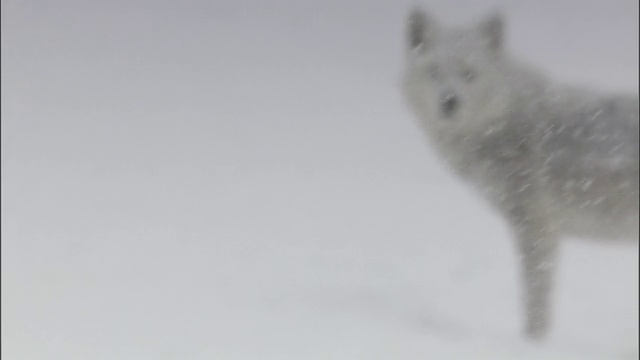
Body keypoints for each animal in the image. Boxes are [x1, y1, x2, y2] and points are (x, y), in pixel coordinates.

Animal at [402, 8, 636, 340]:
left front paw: (532, 343)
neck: (503, 124)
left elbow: (535, 302)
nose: (449, 102)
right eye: (434, 71)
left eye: (469, 74)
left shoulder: (536, 227)